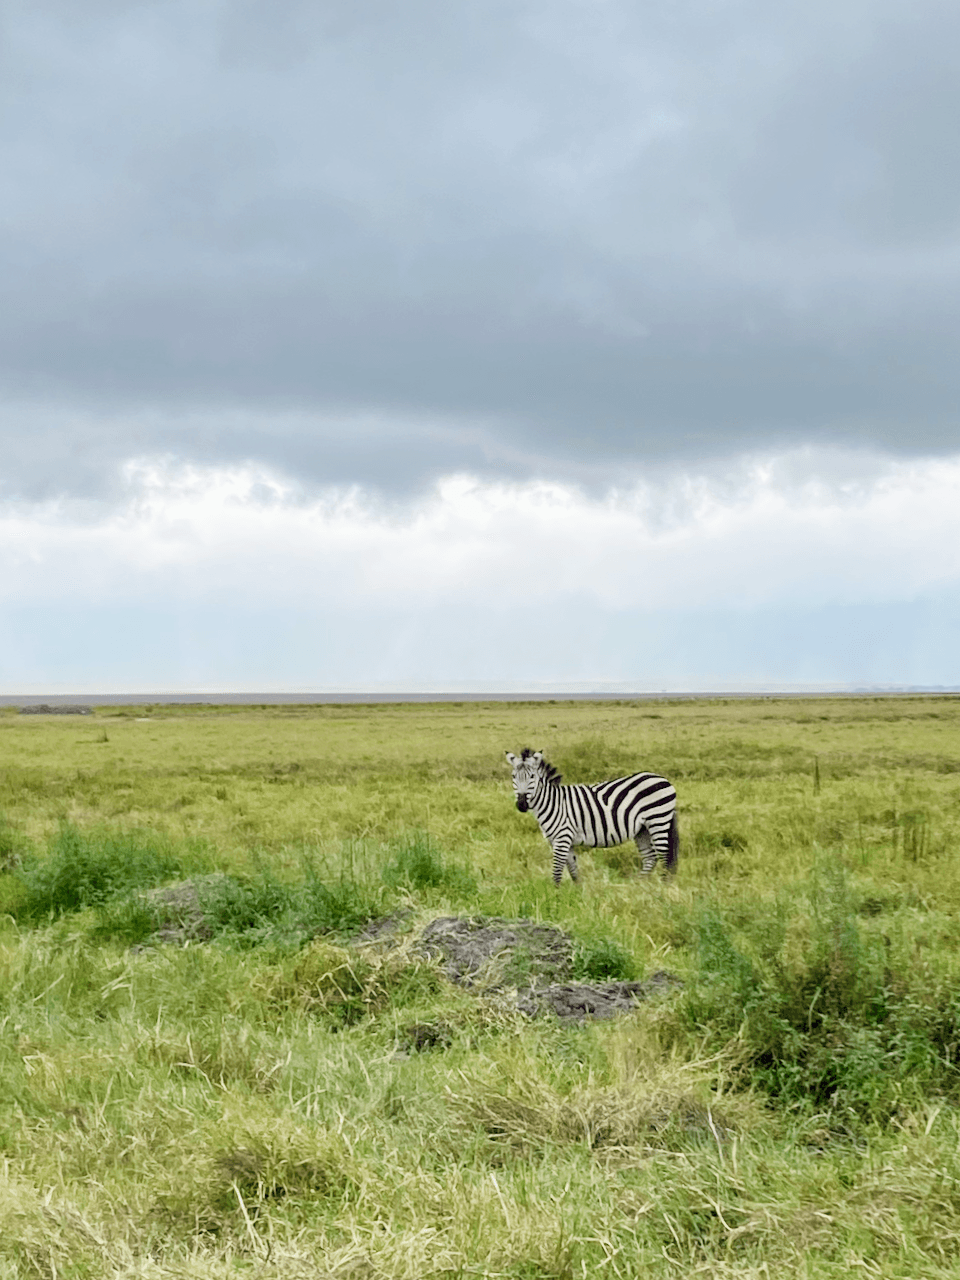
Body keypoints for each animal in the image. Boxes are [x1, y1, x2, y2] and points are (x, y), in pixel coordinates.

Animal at [506, 748, 678, 884]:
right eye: (513, 776)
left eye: (532, 777)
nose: (521, 804)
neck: (553, 803)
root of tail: (662, 778)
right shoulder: (562, 840)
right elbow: (573, 870)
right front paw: (577, 893)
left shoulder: (562, 838)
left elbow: (556, 872)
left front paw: (555, 897)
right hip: (642, 829)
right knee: (650, 858)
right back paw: (638, 886)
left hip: (658, 820)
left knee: (664, 855)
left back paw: (662, 888)